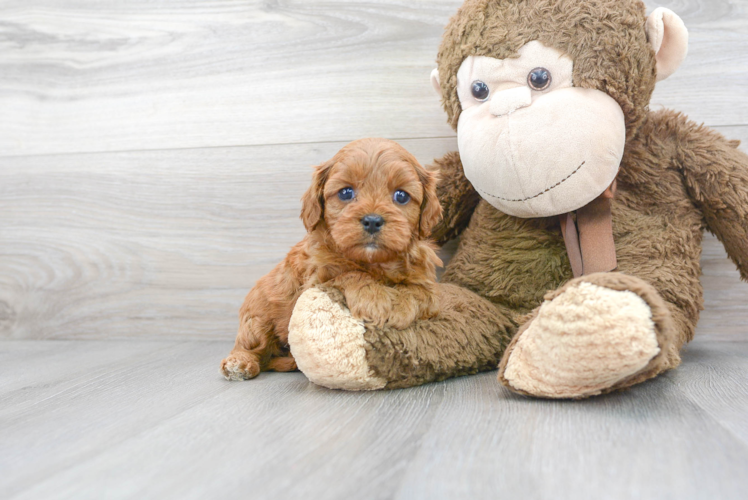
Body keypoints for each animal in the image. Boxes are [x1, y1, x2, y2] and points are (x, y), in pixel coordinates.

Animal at [222, 139, 444, 380]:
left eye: (401, 196)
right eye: (346, 193)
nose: (372, 221)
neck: (373, 262)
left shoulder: (427, 284)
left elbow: (419, 292)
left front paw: (400, 305)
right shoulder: (315, 281)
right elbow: (350, 274)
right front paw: (374, 299)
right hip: (257, 320)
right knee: (251, 346)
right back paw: (239, 363)